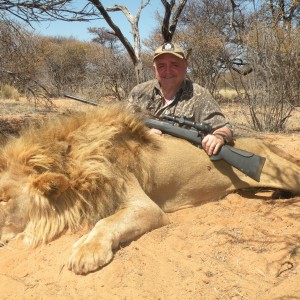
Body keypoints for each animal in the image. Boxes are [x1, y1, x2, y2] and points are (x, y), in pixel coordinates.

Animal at [0, 105, 298, 274]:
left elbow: (106, 223)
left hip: (280, 171)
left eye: (4, 199)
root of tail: (262, 143)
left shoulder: (146, 207)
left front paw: (86, 252)